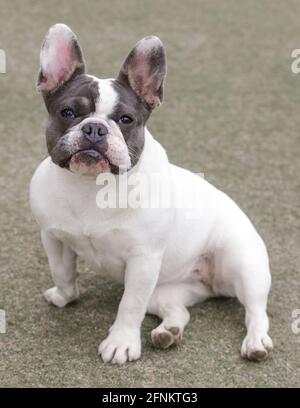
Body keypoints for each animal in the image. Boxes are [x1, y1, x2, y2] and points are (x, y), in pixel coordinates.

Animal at [29, 23, 272, 364]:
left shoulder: (143, 260)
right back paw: (168, 332)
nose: (94, 128)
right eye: (67, 112)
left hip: (244, 265)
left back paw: (256, 342)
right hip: (163, 291)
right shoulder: (53, 238)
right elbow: (62, 272)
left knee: (256, 310)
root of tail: (211, 285)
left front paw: (120, 342)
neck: (92, 186)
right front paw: (65, 297)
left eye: (126, 119)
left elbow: (130, 305)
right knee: (179, 311)